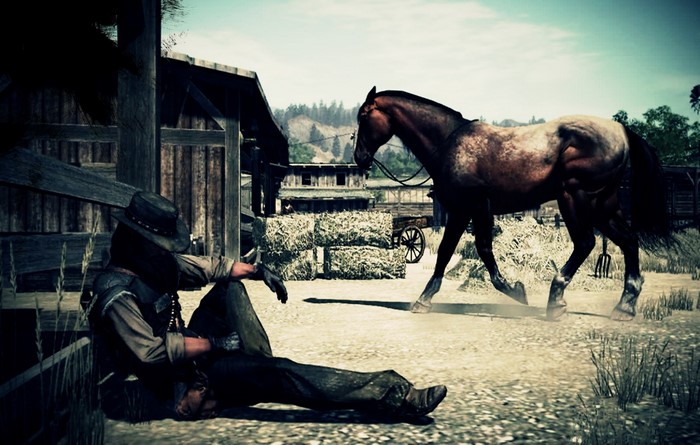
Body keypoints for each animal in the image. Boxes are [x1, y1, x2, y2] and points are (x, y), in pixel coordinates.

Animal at [354, 86, 673, 321]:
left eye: (363, 117)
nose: (359, 157)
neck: (449, 143)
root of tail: (621, 132)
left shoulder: (470, 207)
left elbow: (468, 250)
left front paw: (513, 290)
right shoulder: (468, 210)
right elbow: (456, 252)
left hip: (575, 197)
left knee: (585, 242)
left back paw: (556, 300)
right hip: (603, 205)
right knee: (628, 241)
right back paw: (624, 306)